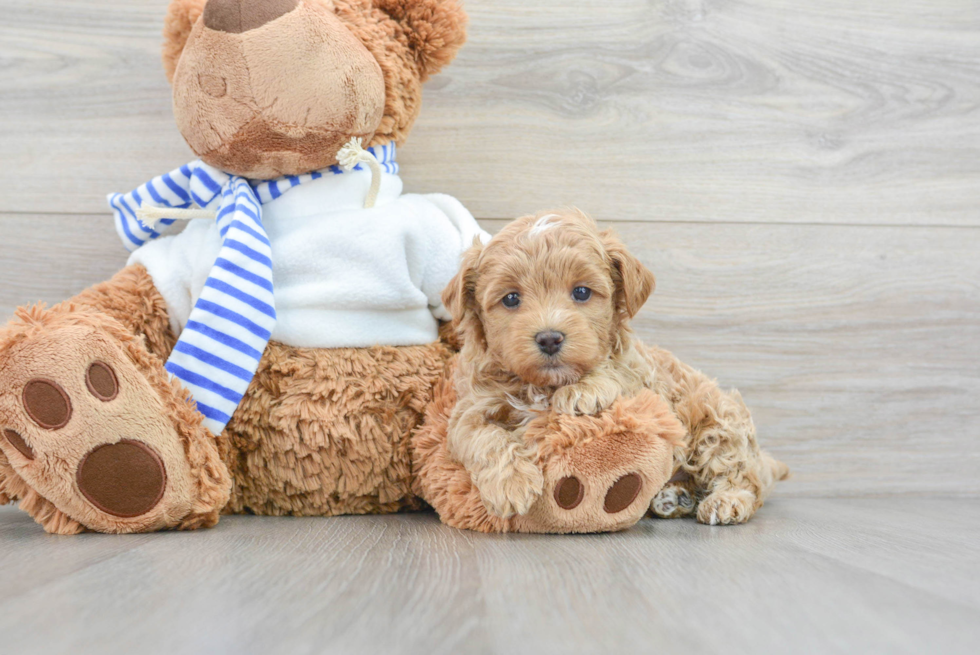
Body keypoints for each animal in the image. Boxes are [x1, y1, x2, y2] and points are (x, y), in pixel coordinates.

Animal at [442, 213, 788, 524]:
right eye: (511, 298)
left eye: (581, 292)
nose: (550, 338)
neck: (545, 384)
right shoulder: (470, 408)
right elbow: (483, 438)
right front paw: (511, 484)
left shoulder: (645, 380)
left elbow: (617, 371)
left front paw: (584, 389)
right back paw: (674, 498)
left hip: (718, 422)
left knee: (741, 475)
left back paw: (727, 500)